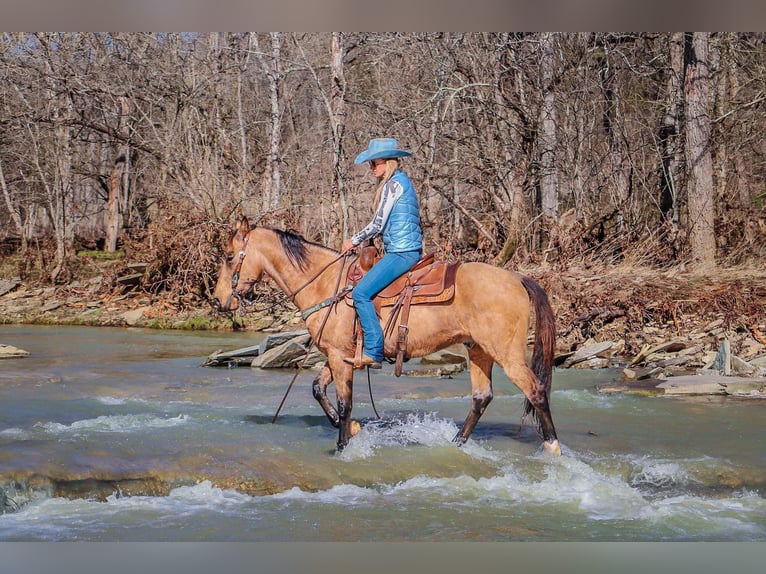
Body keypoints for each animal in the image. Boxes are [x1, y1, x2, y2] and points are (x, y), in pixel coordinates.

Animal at [213, 217, 560, 460]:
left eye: (229, 256)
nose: (218, 300)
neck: (326, 284)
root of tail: (517, 277)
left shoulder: (339, 357)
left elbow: (345, 402)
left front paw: (343, 446)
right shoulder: (338, 354)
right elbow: (317, 389)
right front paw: (347, 427)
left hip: (506, 354)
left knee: (535, 391)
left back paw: (553, 448)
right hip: (478, 350)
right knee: (481, 398)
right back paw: (455, 443)